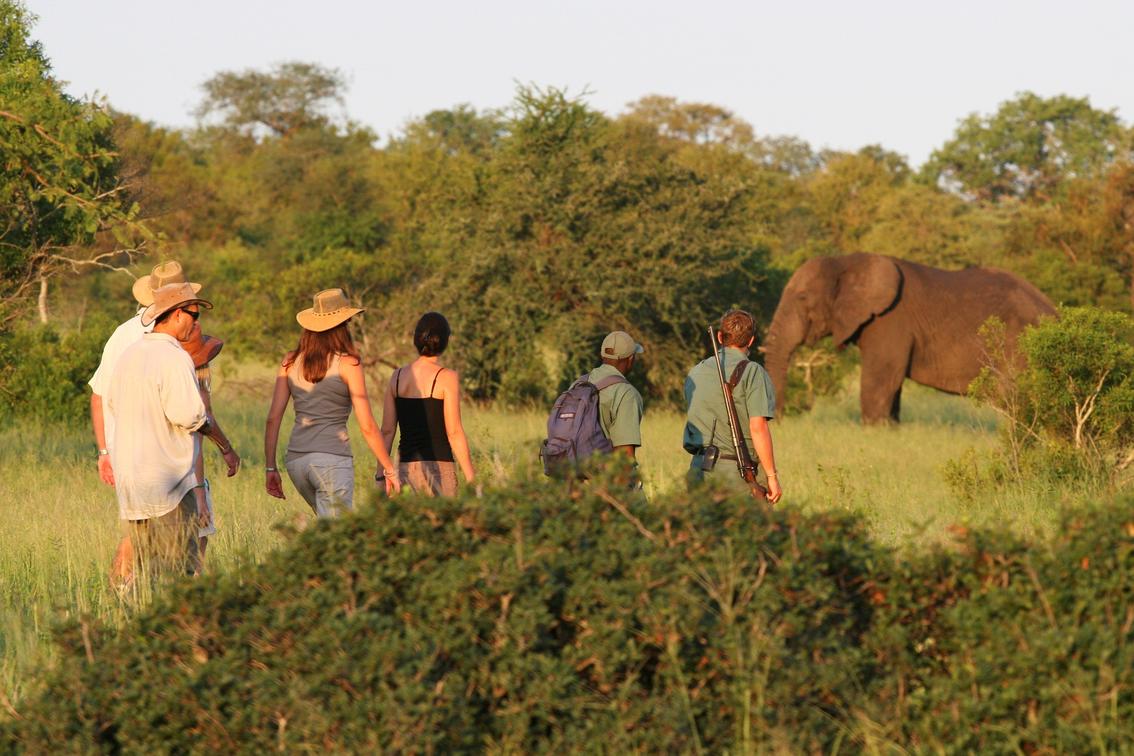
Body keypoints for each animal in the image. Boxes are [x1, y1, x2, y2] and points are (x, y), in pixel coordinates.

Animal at [762, 251, 1052, 423]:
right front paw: (891, 430)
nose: (777, 420)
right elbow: (892, 387)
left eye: (802, 298)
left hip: (1018, 341)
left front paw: (874, 432)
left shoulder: (890, 321)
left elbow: (880, 381)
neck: (847, 261)